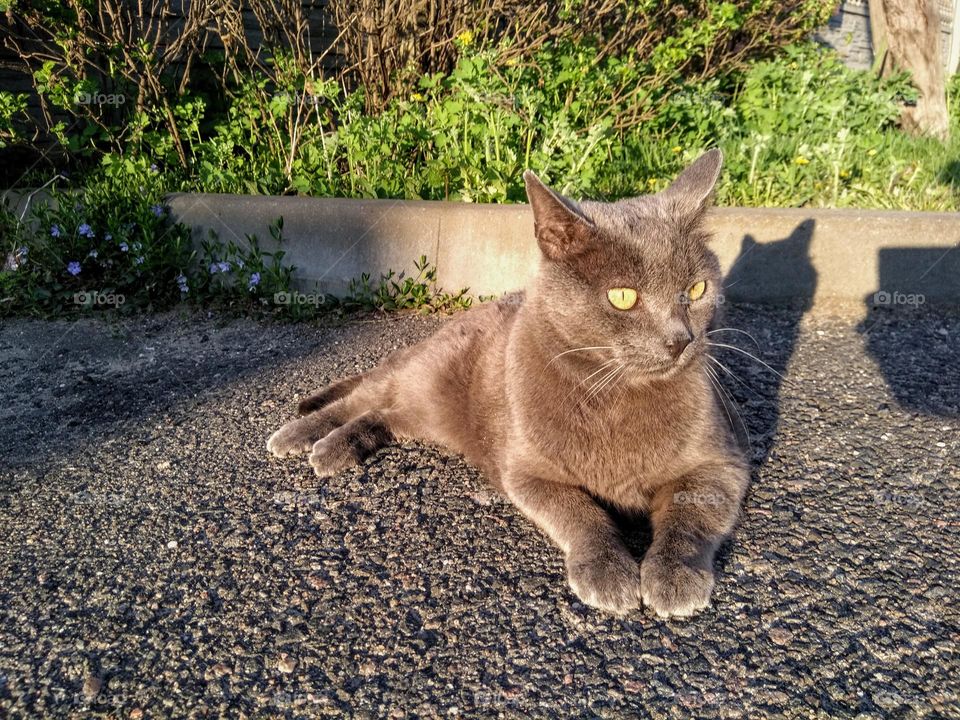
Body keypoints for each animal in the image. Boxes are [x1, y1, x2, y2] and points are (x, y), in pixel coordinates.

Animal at [268, 149, 752, 616]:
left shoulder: (720, 462)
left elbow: (691, 515)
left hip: (427, 413)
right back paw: (301, 436)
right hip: (421, 373)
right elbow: (581, 514)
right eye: (623, 297)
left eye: (696, 290)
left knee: (382, 415)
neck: (616, 394)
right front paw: (608, 573)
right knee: (363, 396)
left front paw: (675, 576)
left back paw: (340, 447)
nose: (681, 339)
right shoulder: (528, 470)